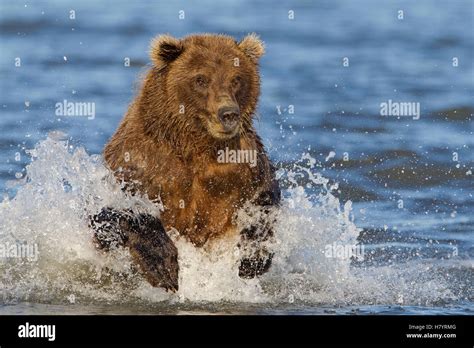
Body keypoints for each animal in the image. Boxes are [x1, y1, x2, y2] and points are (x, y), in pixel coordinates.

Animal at [90, 34, 280, 290]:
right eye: (201, 79)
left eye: (236, 79)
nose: (228, 113)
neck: (197, 147)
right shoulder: (141, 162)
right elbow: (118, 210)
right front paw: (163, 266)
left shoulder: (242, 166)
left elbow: (264, 198)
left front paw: (252, 259)